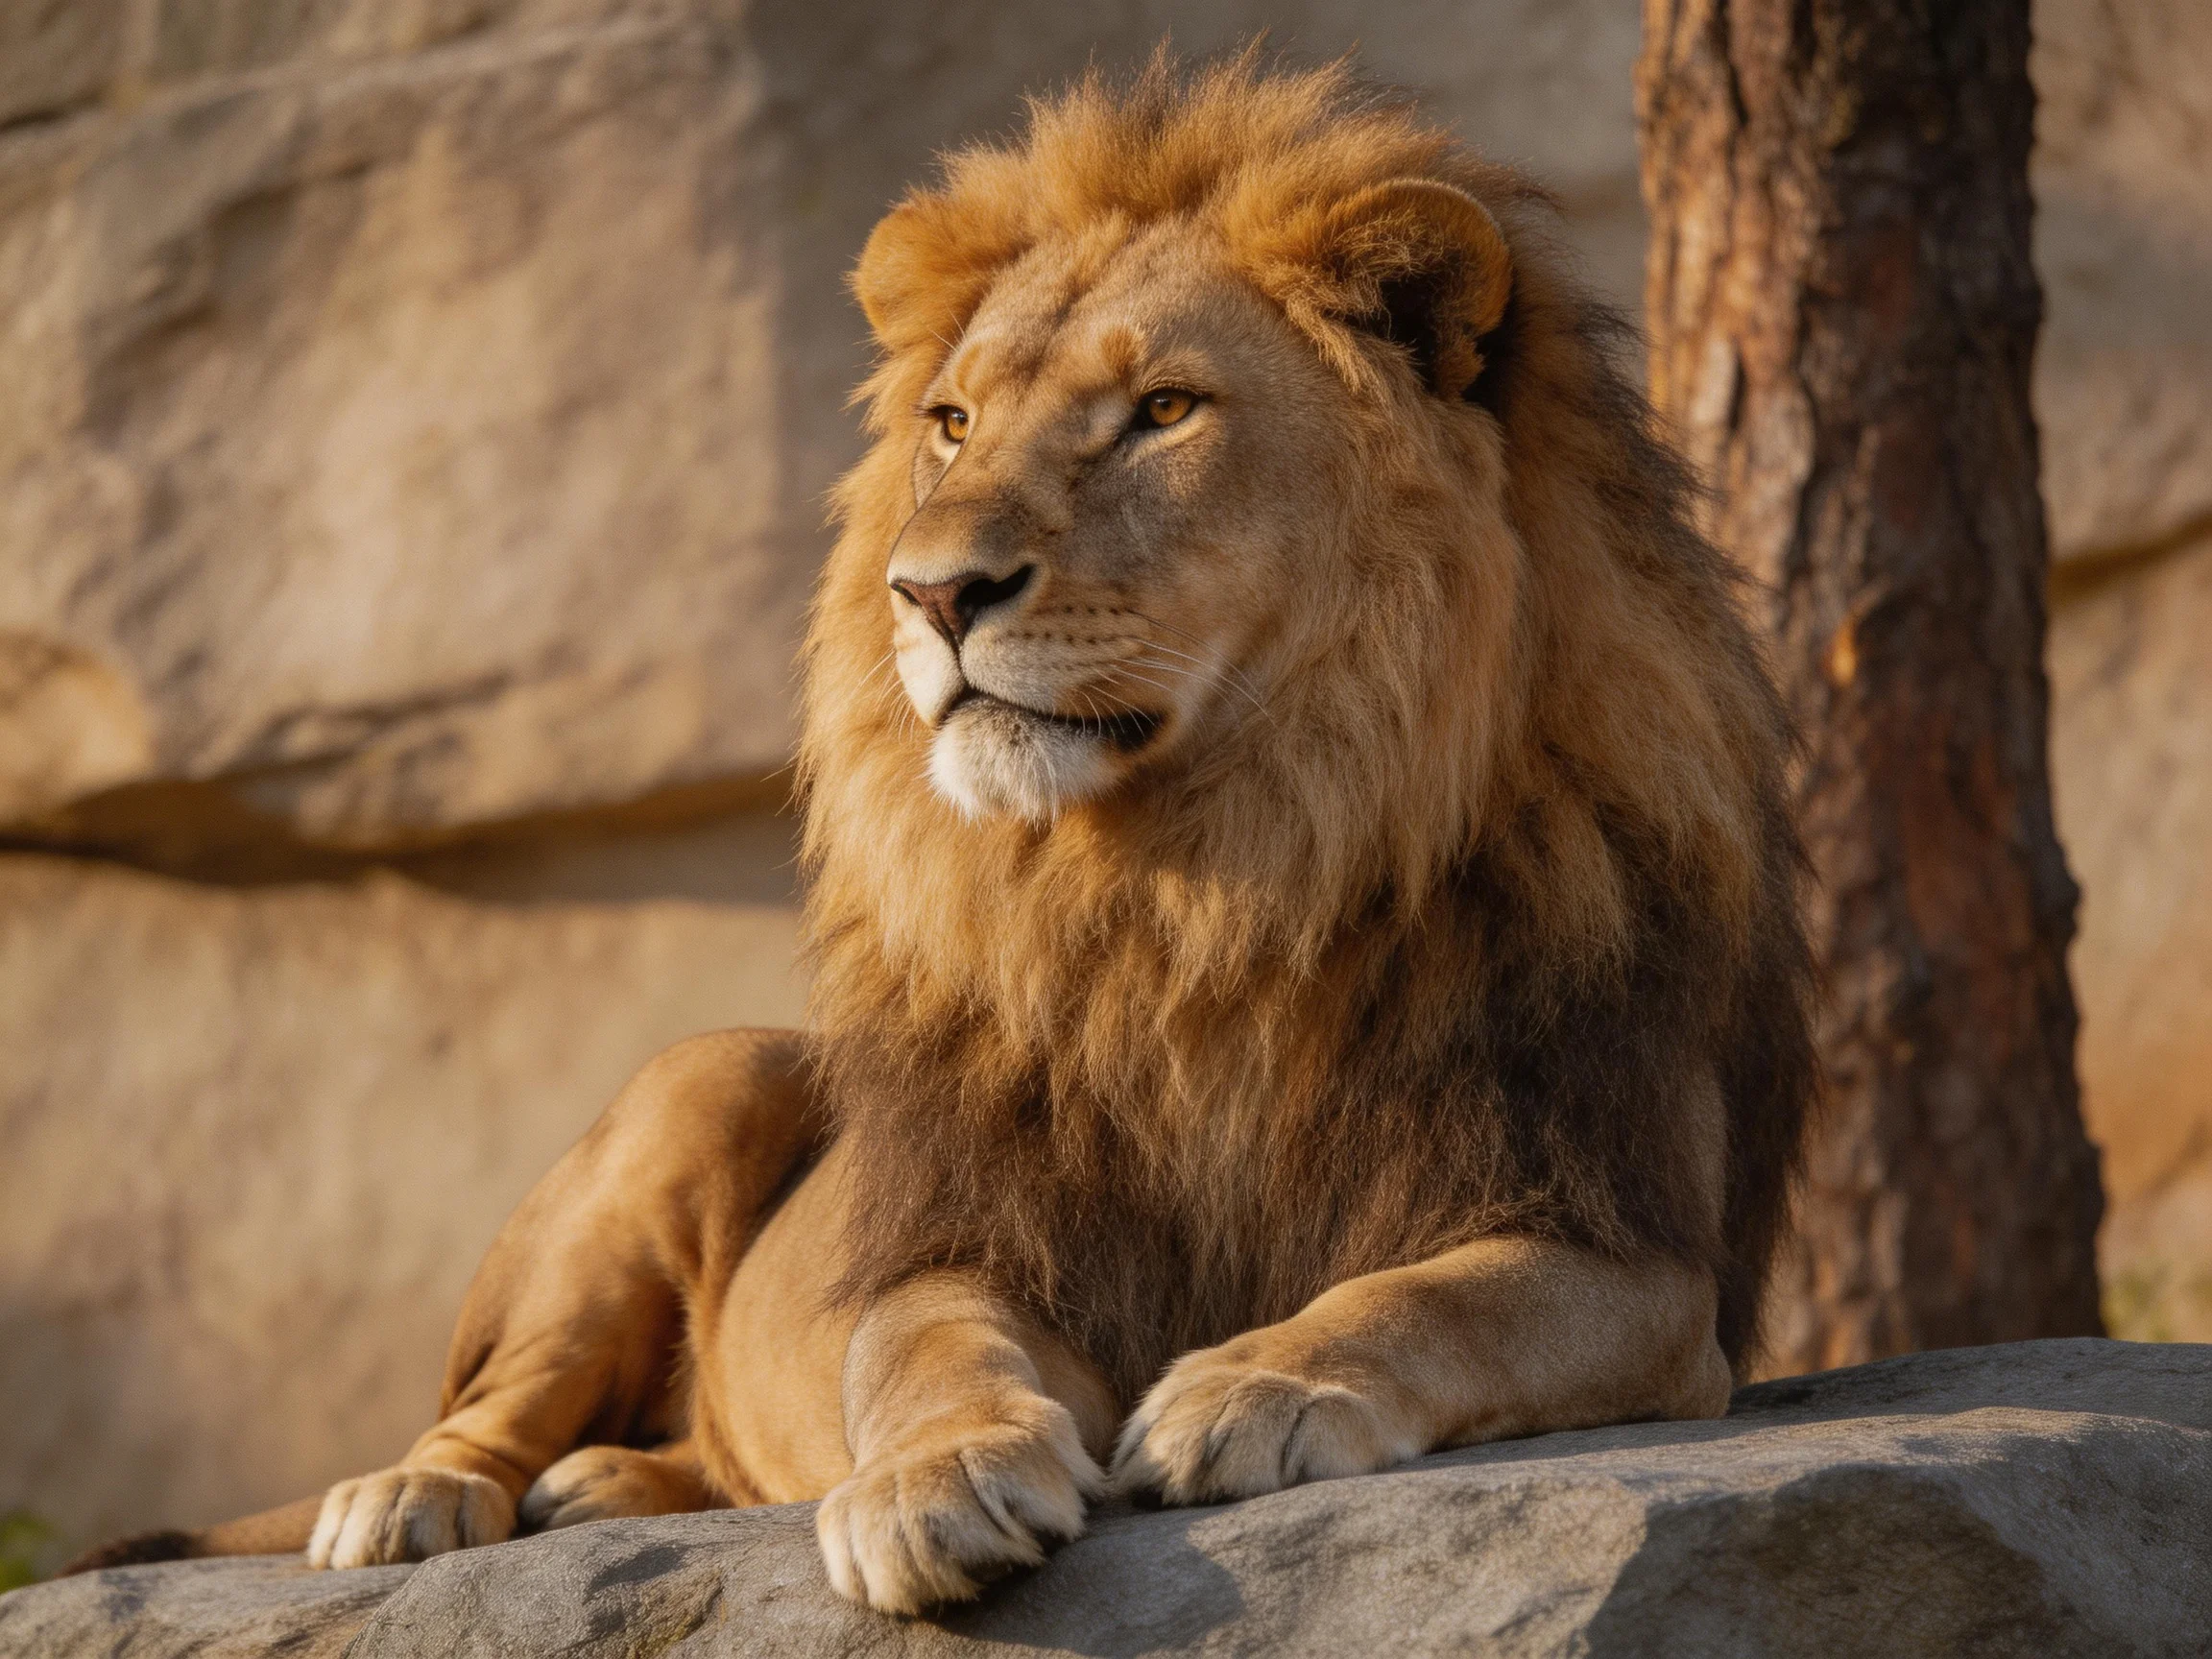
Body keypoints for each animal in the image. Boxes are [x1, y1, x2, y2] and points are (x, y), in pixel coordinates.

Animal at [70, 53, 1815, 1613]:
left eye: (1162, 409)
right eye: (956, 422)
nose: (931, 591)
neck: (1214, 882)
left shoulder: (1634, 1250)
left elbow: (1431, 1298)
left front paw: (1254, 1386)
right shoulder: (974, 1230)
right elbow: (923, 1349)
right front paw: (934, 1481)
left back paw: (612, 1484)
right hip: (694, 1081)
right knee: (492, 1403)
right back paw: (423, 1496)